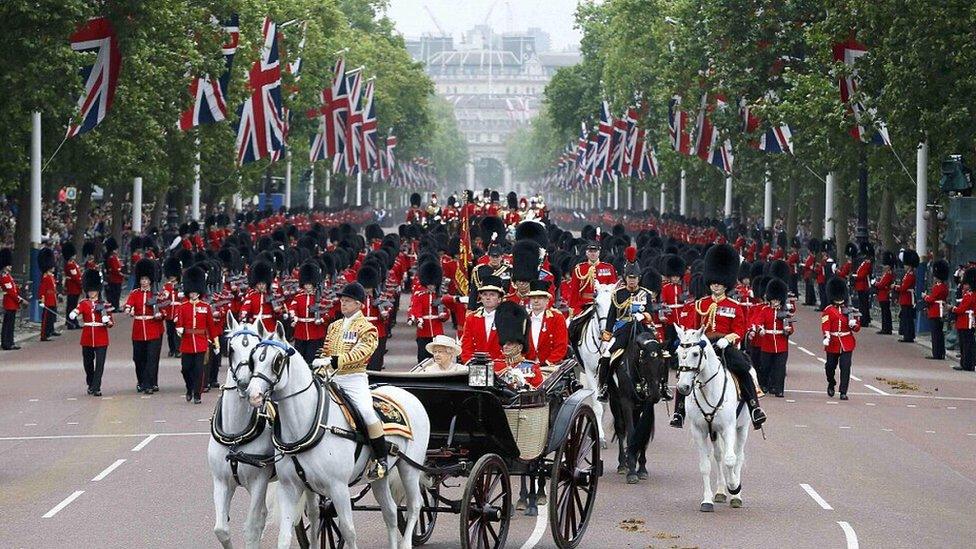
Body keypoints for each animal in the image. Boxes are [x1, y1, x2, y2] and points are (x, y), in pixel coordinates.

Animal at [244, 326, 430, 548]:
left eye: (277, 360)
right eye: (253, 358)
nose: (253, 394)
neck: (309, 426)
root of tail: (408, 395)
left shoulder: (338, 487)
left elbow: (348, 531)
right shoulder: (291, 487)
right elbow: (287, 535)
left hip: (409, 467)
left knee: (415, 505)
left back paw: (406, 542)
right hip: (379, 478)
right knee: (391, 512)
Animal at [572, 282, 616, 446]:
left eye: (614, 305)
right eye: (597, 304)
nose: (606, 334)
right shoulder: (591, 373)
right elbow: (597, 406)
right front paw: (600, 435)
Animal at [676, 326, 752, 510]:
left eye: (695, 353)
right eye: (677, 352)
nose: (683, 387)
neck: (709, 389)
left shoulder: (729, 428)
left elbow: (730, 460)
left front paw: (734, 486)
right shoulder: (699, 431)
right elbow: (705, 466)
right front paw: (707, 500)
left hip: (742, 428)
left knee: (738, 456)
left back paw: (735, 495)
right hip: (714, 432)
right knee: (718, 456)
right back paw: (720, 492)